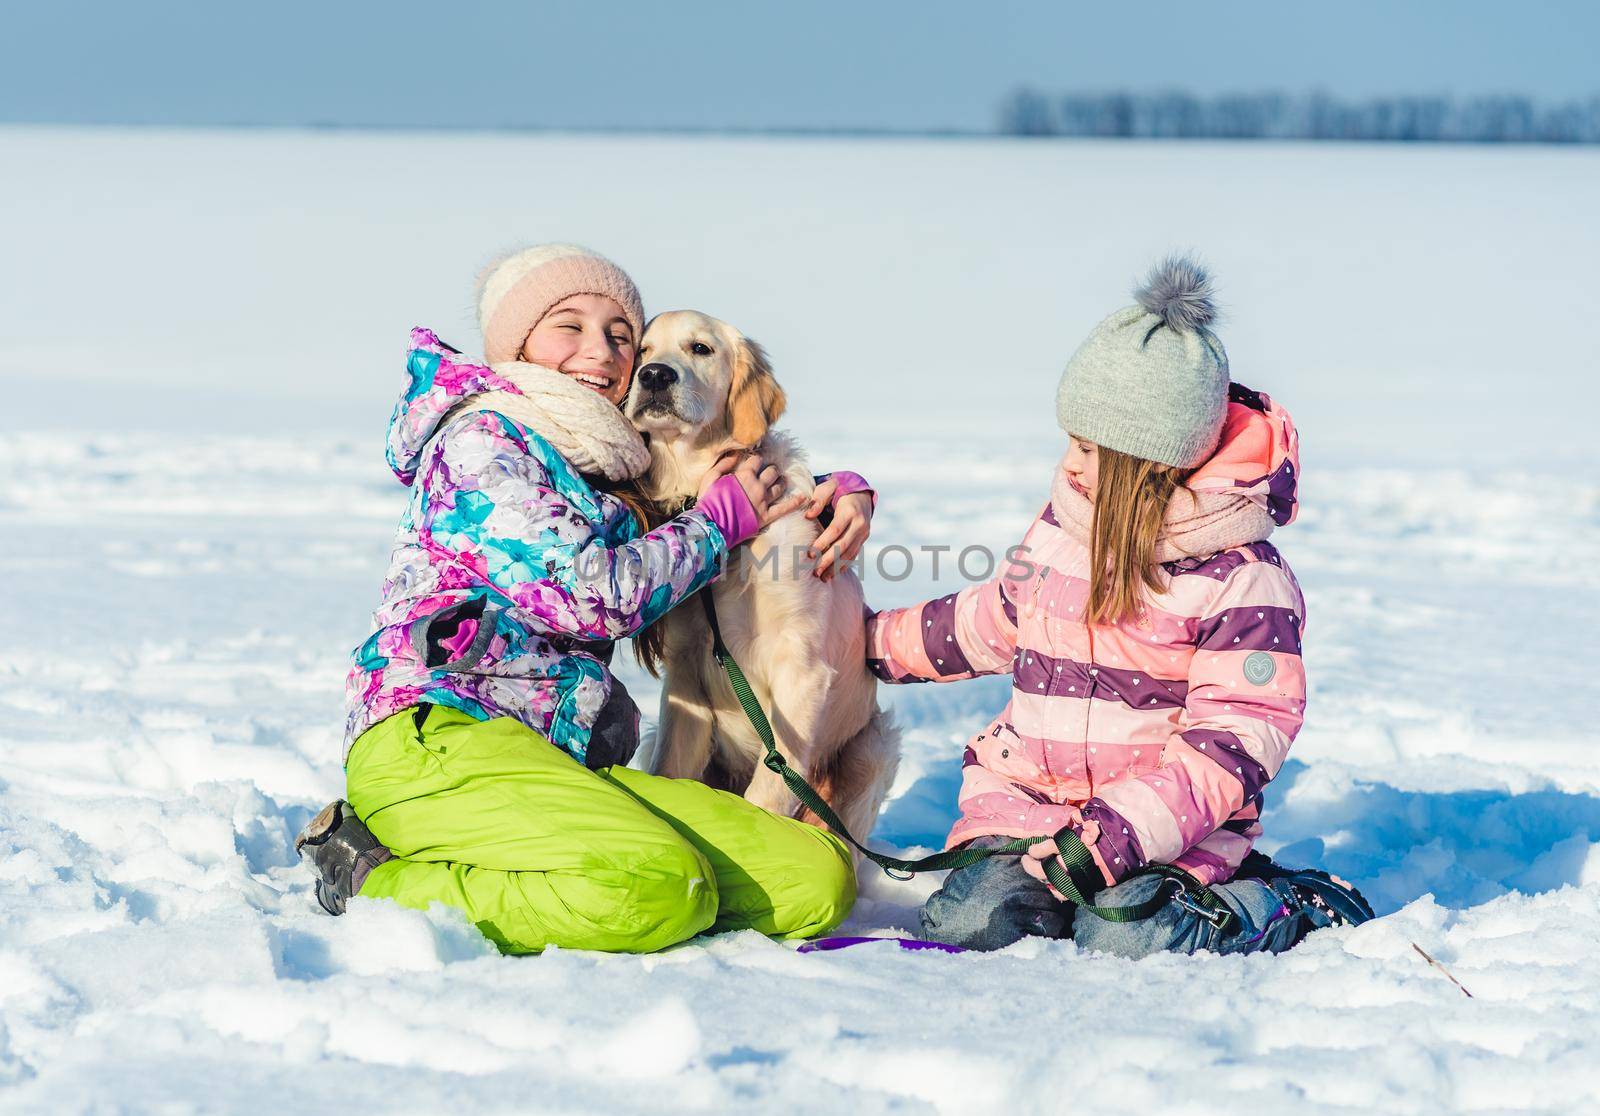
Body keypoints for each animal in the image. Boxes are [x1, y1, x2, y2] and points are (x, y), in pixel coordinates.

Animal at [624, 308, 902, 850]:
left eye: (701, 348)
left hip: (874, 747)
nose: (654, 376)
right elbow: (671, 771)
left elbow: (770, 790)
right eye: (642, 349)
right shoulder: (685, 671)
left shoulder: (802, 667)